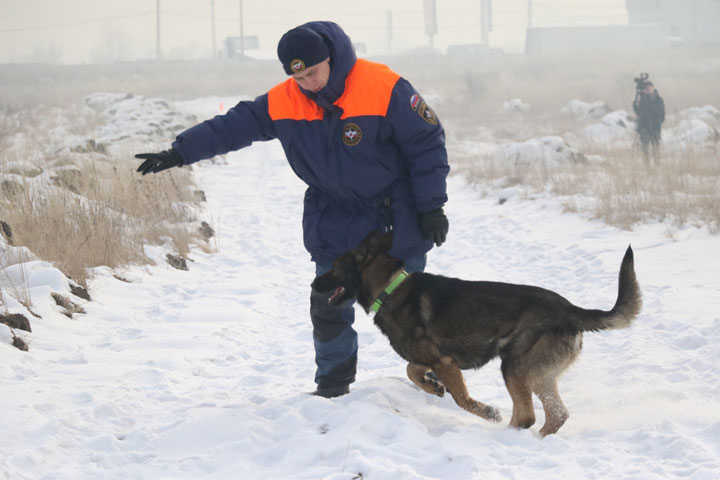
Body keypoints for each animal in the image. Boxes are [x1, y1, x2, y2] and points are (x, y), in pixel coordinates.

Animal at [310, 231, 640, 436]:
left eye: (335, 267)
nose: (313, 284)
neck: (390, 288)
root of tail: (570, 309)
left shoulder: (445, 362)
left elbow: (461, 399)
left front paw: (487, 411)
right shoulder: (434, 359)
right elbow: (411, 370)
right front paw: (432, 386)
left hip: (514, 366)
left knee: (528, 416)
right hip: (537, 373)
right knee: (555, 414)